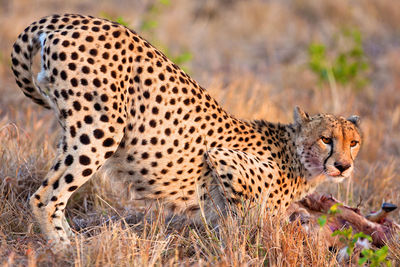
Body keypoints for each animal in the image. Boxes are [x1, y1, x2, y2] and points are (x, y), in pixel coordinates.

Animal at [10, 14, 362, 249]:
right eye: (326, 139)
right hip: (100, 129)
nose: (343, 166)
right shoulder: (223, 160)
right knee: (45, 197)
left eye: (354, 143)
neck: (297, 156)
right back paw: (67, 250)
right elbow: (242, 225)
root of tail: (71, 17)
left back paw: (73, 241)